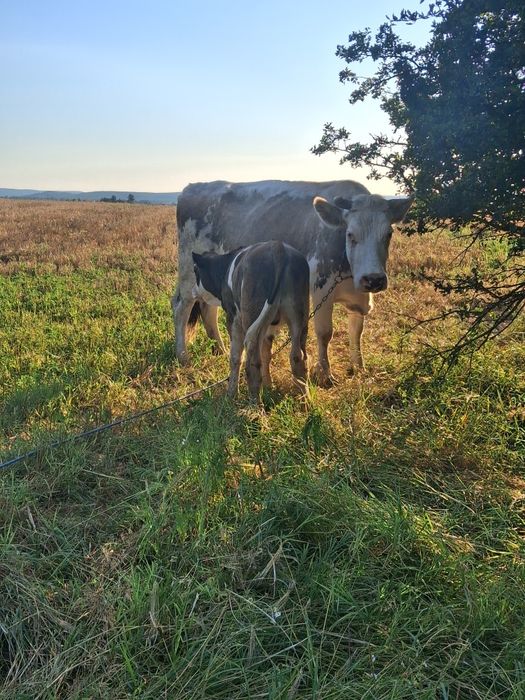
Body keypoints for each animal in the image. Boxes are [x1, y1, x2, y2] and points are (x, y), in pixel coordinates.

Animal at [192, 240, 310, 401]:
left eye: (195, 271)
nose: (192, 292)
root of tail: (278, 247)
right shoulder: (268, 328)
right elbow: (266, 353)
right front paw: (268, 387)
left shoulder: (233, 318)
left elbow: (235, 357)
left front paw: (231, 394)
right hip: (299, 316)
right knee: (298, 356)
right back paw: (305, 400)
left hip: (251, 316)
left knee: (252, 360)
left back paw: (254, 401)